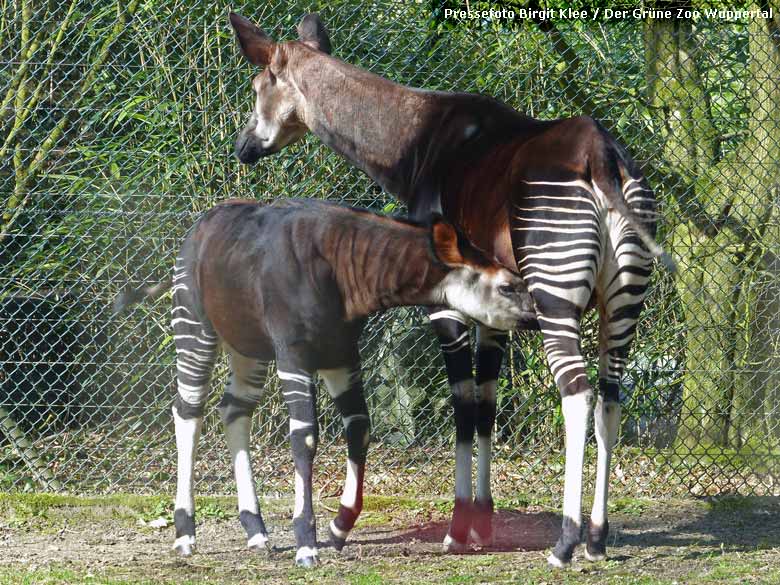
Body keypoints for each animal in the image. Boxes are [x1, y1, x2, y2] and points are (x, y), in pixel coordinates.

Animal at [116, 200, 536, 564]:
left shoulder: (341, 355)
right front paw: (306, 542)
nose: (537, 314)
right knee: (188, 410)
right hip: (194, 324)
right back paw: (185, 535)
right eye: (507, 286)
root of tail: (199, 226)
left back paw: (256, 531)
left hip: (248, 345)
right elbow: (305, 438)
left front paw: (338, 528)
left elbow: (360, 428)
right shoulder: (295, 355)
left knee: (234, 409)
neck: (345, 271)